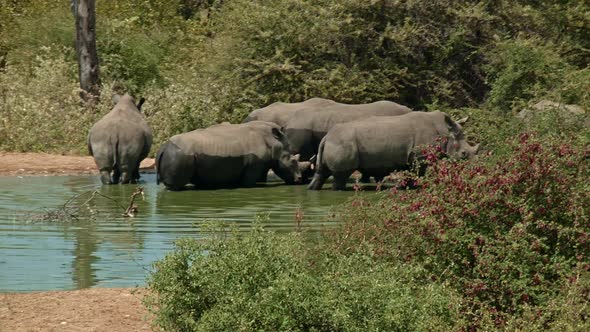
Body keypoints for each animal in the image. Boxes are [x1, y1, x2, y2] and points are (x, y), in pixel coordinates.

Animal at [156, 121, 306, 189]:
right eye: (293, 161)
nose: (299, 179)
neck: (274, 142)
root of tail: (163, 147)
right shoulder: (254, 165)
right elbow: (248, 183)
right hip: (179, 155)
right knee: (174, 187)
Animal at [310, 111, 480, 191]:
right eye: (463, 154)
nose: (474, 166)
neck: (445, 132)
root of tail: (326, 137)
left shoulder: (410, 158)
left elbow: (409, 173)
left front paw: (404, 187)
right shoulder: (420, 157)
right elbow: (417, 174)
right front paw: (414, 187)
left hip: (334, 143)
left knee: (322, 173)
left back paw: (313, 189)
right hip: (342, 143)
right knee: (341, 176)